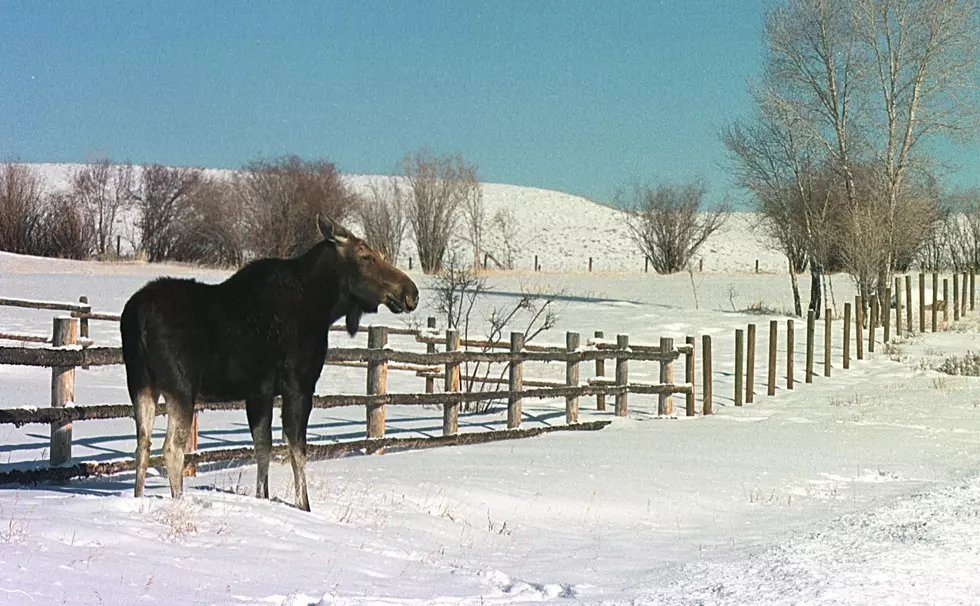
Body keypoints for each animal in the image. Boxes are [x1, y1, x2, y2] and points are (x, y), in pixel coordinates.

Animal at [120, 216, 420, 510]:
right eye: (366, 256)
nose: (411, 292)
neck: (324, 307)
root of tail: (136, 318)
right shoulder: (298, 386)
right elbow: (297, 449)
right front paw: (304, 506)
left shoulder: (259, 393)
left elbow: (262, 448)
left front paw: (263, 497)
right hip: (181, 387)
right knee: (171, 448)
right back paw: (180, 501)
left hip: (140, 383)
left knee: (142, 445)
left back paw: (138, 498)